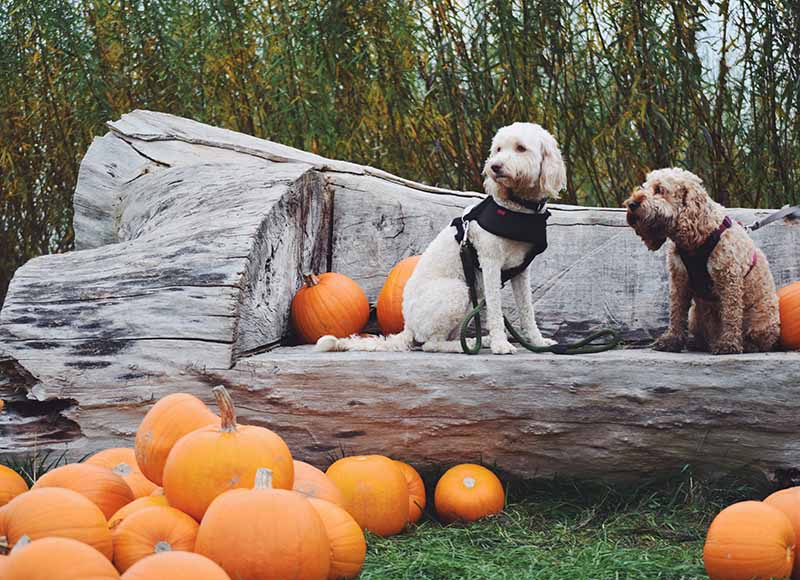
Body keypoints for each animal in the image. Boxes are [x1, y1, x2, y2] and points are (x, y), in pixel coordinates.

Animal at [316, 122, 564, 354]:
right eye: (498, 149)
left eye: (521, 148)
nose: (494, 167)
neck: (517, 207)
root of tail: (408, 326)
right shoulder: (491, 263)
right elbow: (495, 308)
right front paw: (501, 344)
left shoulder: (521, 271)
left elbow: (527, 309)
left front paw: (538, 342)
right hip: (456, 291)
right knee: (431, 344)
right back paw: (465, 345)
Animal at [620, 168, 780, 356]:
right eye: (644, 186)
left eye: (659, 189)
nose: (632, 204)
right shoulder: (679, 280)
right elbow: (676, 312)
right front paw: (672, 340)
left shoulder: (728, 279)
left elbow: (731, 314)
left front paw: (728, 344)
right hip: (694, 316)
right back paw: (697, 342)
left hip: (762, 319)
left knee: (758, 340)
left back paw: (746, 345)